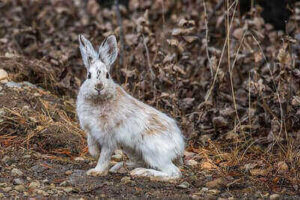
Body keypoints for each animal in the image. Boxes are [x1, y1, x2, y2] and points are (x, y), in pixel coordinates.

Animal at [77, 34, 185, 180]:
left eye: (107, 75)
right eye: (89, 75)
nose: (99, 87)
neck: (98, 100)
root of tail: (179, 147)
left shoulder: (109, 138)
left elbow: (104, 156)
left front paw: (96, 171)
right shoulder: (90, 132)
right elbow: (92, 147)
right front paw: (94, 154)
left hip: (152, 151)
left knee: (174, 173)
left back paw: (142, 173)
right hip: (132, 149)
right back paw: (120, 167)